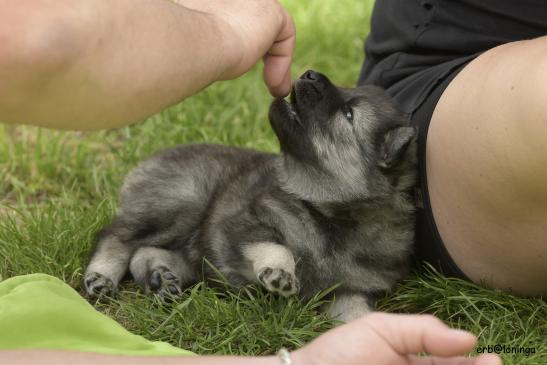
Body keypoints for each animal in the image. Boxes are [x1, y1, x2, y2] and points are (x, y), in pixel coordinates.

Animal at [84, 70, 416, 322]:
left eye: (348, 114)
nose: (310, 73)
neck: (329, 215)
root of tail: (146, 163)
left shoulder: (348, 291)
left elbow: (357, 313)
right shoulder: (244, 224)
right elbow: (277, 247)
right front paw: (280, 274)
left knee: (146, 252)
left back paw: (160, 278)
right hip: (182, 202)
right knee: (117, 238)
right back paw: (102, 275)